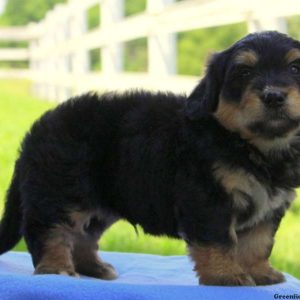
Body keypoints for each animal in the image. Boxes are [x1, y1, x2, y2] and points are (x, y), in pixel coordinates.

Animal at [0, 31, 300, 286]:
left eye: (295, 69)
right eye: (244, 72)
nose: (273, 96)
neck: (251, 146)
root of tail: (35, 131)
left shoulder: (269, 208)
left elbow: (258, 244)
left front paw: (261, 273)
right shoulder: (208, 200)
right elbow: (219, 240)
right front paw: (226, 275)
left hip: (99, 205)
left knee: (83, 236)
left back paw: (95, 268)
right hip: (60, 194)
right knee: (48, 231)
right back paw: (56, 269)